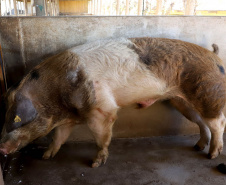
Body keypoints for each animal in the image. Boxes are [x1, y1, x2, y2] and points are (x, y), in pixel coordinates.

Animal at [0, 37, 226, 168]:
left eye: (16, 119)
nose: (1, 148)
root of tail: (215, 56)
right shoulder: (67, 119)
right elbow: (59, 137)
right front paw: (46, 157)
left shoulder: (102, 109)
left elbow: (102, 137)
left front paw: (95, 164)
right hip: (181, 102)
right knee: (201, 122)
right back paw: (198, 146)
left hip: (209, 92)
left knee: (218, 123)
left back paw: (212, 156)